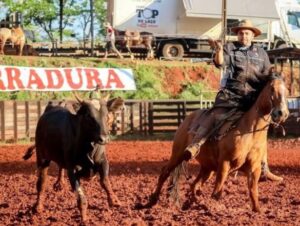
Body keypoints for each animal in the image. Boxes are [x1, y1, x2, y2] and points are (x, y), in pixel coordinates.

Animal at [137, 77, 290, 213]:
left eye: (287, 91)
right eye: (272, 89)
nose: (282, 113)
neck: (250, 131)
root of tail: (187, 119)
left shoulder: (254, 169)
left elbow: (253, 191)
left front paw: (257, 211)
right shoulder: (225, 163)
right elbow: (217, 192)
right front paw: (213, 207)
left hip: (208, 168)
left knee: (194, 185)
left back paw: (192, 203)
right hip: (178, 154)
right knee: (165, 172)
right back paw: (152, 201)